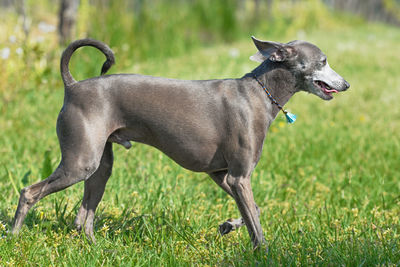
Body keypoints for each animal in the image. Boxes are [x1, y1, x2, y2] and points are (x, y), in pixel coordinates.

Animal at [11, 37, 350, 249]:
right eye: (323, 61)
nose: (346, 84)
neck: (259, 93)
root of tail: (73, 85)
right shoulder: (239, 177)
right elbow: (255, 219)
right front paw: (264, 251)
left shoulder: (222, 175)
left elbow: (253, 209)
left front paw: (229, 225)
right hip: (79, 163)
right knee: (30, 192)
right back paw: (13, 237)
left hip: (99, 166)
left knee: (84, 217)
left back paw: (96, 247)